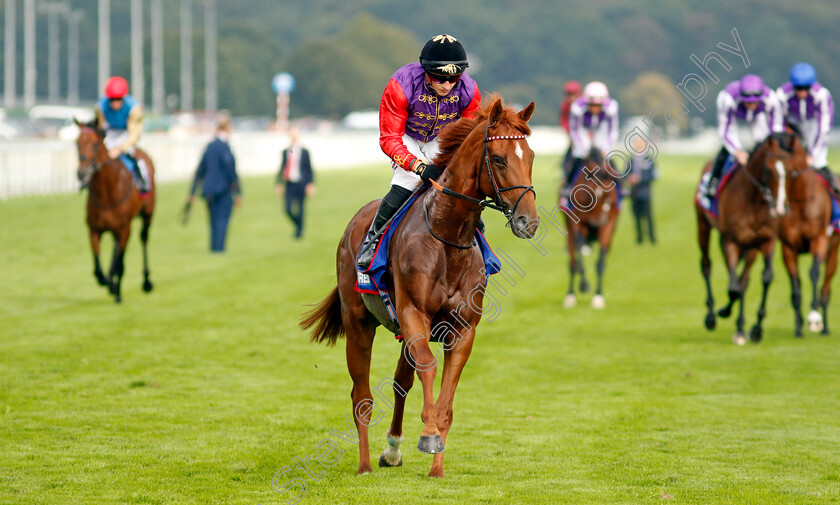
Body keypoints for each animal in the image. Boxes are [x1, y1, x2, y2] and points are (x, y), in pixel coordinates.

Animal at [74, 121, 155, 304]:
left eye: (95, 144)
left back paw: (146, 282)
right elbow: (98, 268)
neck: (106, 194)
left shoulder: (124, 229)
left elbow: (119, 264)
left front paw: (116, 290)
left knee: (143, 239)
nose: (82, 172)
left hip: (147, 215)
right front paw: (107, 282)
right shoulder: (94, 229)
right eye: (77, 143)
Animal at [302, 96, 540, 478]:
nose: (527, 222)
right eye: (499, 158)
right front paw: (428, 435)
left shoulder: (462, 328)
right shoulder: (414, 312)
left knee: (401, 382)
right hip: (359, 323)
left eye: (530, 156)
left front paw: (436, 464)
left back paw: (392, 450)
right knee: (362, 396)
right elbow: (428, 367)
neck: (447, 238)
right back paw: (365, 464)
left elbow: (446, 394)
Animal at [560, 148, 620, 310]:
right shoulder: (577, 223)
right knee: (572, 260)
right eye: (592, 193)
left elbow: (601, 263)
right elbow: (578, 253)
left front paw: (598, 297)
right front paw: (584, 285)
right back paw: (570, 295)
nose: (598, 220)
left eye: (608, 197)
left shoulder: (608, 224)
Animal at [700, 132, 796, 344]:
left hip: (750, 247)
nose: (780, 208)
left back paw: (740, 328)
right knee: (707, 265)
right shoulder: (731, 240)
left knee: (743, 279)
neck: (754, 202)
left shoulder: (766, 240)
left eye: (792, 170)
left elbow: (765, 278)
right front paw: (723, 311)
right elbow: (733, 288)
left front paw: (756, 329)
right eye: (769, 169)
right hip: (703, 225)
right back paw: (711, 316)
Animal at [776, 129, 840, 334]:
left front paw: (814, 317)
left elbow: (813, 273)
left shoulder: (819, 239)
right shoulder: (788, 247)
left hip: (833, 251)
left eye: (787, 162)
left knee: (826, 288)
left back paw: (824, 326)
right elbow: (795, 282)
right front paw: (798, 327)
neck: (800, 201)